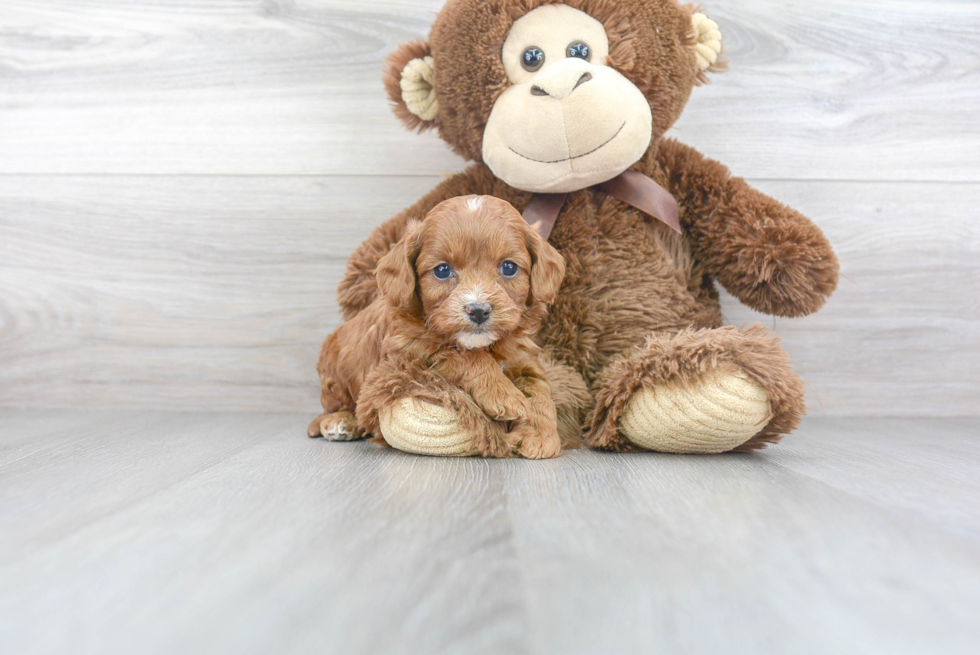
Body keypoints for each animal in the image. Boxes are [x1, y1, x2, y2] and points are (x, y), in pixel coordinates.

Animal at [310, 195, 564, 458]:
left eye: (509, 267)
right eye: (442, 270)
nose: (478, 310)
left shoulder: (521, 358)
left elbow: (539, 388)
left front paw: (539, 434)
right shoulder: (408, 353)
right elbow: (465, 357)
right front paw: (502, 394)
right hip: (335, 378)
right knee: (334, 406)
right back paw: (340, 421)